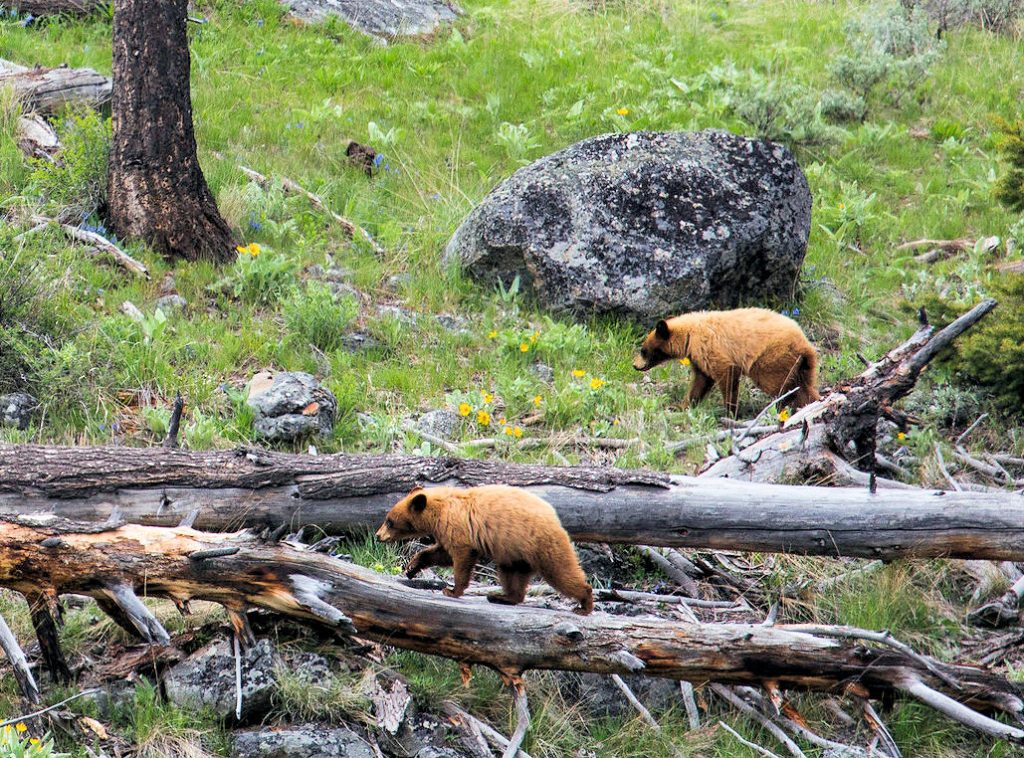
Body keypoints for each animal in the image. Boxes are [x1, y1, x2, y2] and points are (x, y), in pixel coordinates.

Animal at [375, 485, 594, 615]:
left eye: (389, 521)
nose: (378, 536)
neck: (440, 508)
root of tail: (555, 519)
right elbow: (440, 553)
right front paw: (412, 567)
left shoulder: (457, 527)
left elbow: (460, 556)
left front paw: (452, 590)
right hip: (515, 554)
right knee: (512, 575)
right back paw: (502, 596)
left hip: (542, 545)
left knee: (562, 573)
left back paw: (585, 604)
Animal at [633, 307, 820, 417]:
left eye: (643, 350)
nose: (635, 365)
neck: (690, 334)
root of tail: (804, 345)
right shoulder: (699, 358)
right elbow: (701, 381)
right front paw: (683, 405)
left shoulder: (710, 347)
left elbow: (726, 374)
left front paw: (730, 411)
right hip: (803, 365)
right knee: (806, 385)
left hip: (771, 359)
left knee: (781, 385)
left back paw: (783, 405)